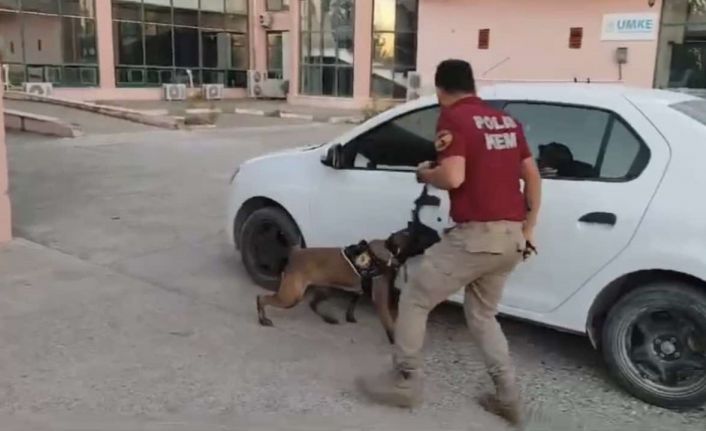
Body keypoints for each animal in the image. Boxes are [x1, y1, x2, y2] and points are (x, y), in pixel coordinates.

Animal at [256, 240, 398, 344]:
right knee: (261, 298)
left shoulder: (358, 290)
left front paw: (350, 317)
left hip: (323, 290)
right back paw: (263, 320)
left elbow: (352, 303)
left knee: (313, 304)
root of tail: (295, 253)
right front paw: (393, 339)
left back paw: (329, 319)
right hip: (291, 297)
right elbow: (388, 322)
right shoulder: (378, 296)